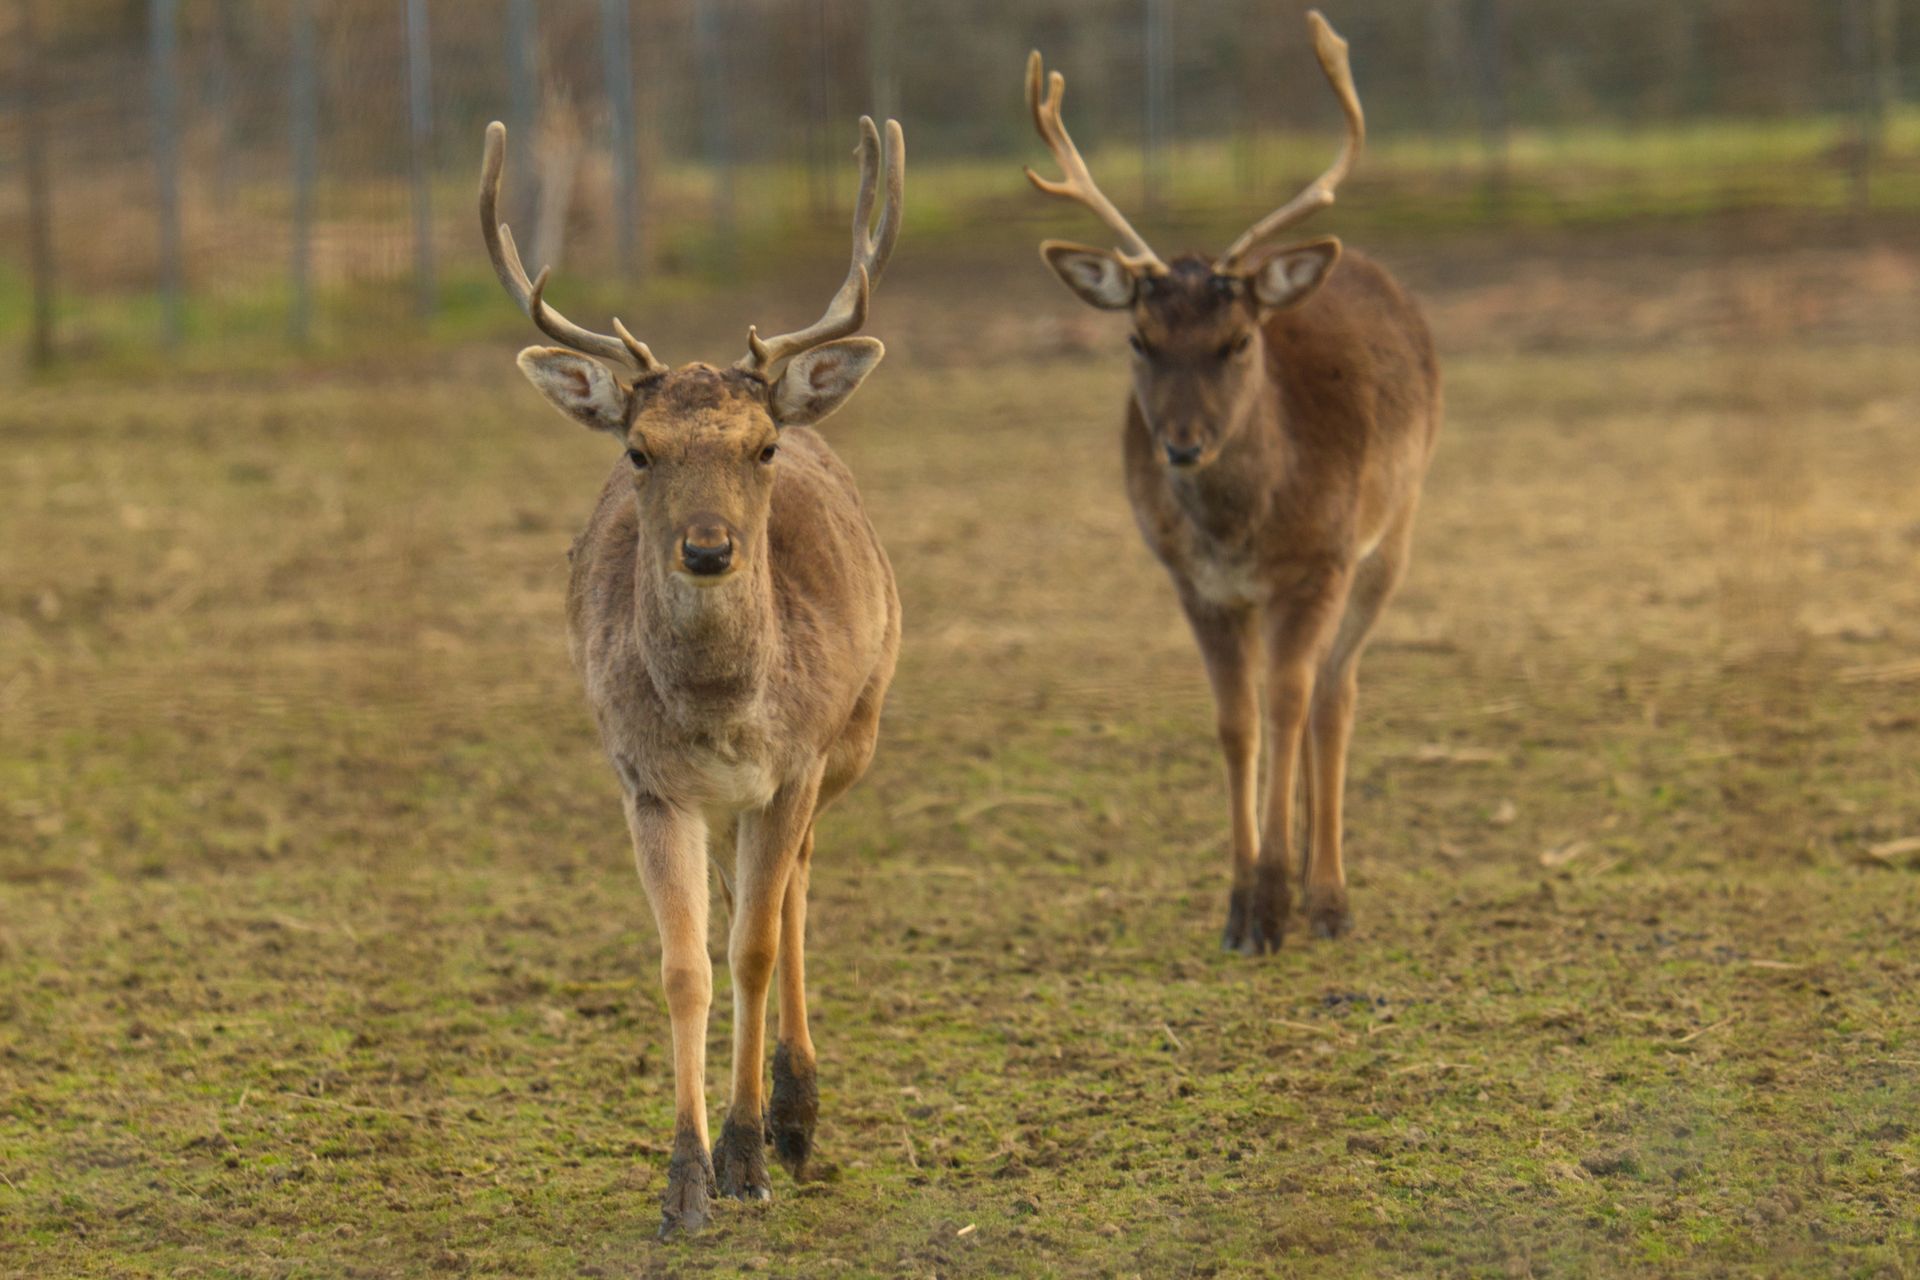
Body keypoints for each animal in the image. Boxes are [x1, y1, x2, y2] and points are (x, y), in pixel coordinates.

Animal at [479, 113, 903, 1237]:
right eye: (639, 449)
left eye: (760, 447)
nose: (708, 548)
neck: (721, 716)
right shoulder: (647, 782)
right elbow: (685, 966)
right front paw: (685, 1178)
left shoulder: (796, 764)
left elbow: (751, 946)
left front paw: (750, 1154)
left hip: (854, 739)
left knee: (792, 884)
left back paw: (798, 1112)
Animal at [1023, 11, 1440, 955]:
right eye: (1138, 338)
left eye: (1238, 340)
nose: (1181, 446)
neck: (1244, 530)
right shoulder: (1196, 584)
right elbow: (1236, 721)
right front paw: (1240, 907)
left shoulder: (1318, 565)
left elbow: (1287, 705)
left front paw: (1278, 902)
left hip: (1393, 534)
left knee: (1336, 695)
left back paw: (1330, 897)